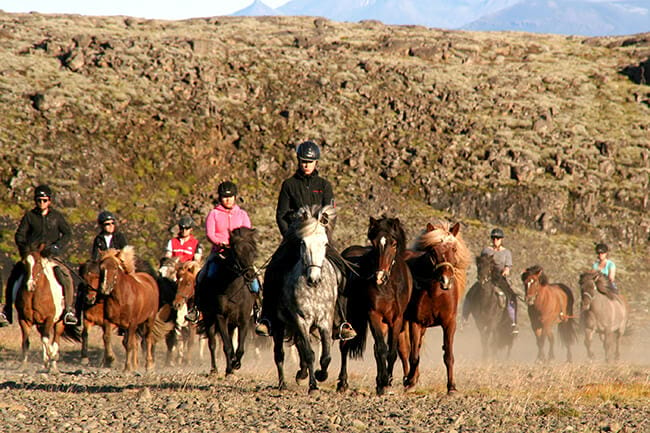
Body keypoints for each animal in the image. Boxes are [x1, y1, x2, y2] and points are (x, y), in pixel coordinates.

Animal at [197, 226, 258, 374]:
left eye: (253, 251)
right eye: (236, 252)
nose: (250, 275)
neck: (233, 290)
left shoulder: (244, 319)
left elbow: (240, 348)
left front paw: (235, 364)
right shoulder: (220, 317)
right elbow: (227, 346)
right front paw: (230, 368)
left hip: (232, 323)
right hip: (209, 318)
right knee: (212, 344)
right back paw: (214, 370)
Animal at [334, 216, 410, 394]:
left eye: (393, 243)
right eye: (374, 244)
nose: (379, 277)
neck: (390, 287)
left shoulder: (396, 319)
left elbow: (391, 352)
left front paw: (387, 382)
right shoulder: (374, 315)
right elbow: (382, 349)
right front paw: (383, 383)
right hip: (350, 318)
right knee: (344, 346)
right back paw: (342, 383)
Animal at [402, 221, 468, 394]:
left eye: (454, 249)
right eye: (433, 251)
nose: (446, 280)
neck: (436, 293)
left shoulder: (449, 323)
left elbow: (448, 355)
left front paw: (451, 387)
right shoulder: (415, 322)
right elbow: (414, 355)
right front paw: (409, 382)